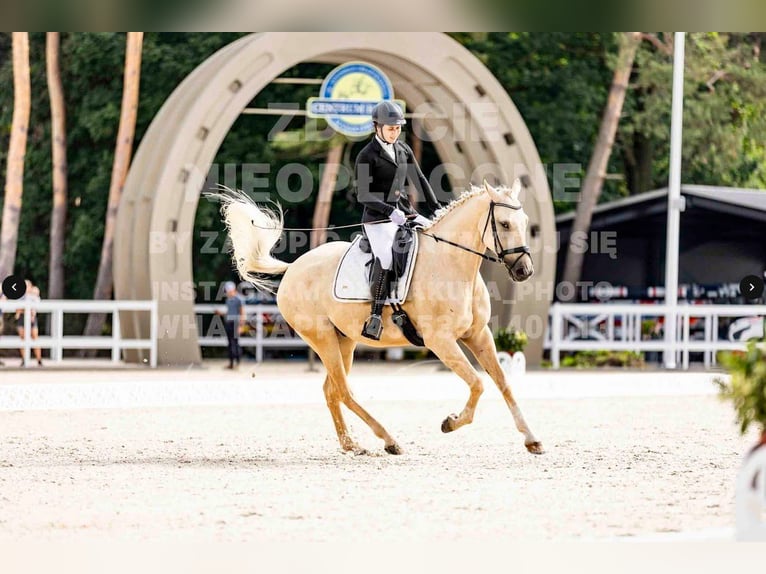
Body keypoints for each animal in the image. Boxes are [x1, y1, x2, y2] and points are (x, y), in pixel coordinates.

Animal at [216, 179, 544, 456]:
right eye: (504, 223)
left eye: (526, 223)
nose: (525, 270)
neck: (451, 264)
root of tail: (294, 267)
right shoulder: (440, 341)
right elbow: (478, 383)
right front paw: (450, 422)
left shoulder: (478, 334)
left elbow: (503, 382)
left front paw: (532, 439)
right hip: (322, 338)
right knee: (344, 391)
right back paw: (389, 440)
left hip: (344, 340)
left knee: (332, 390)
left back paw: (351, 444)